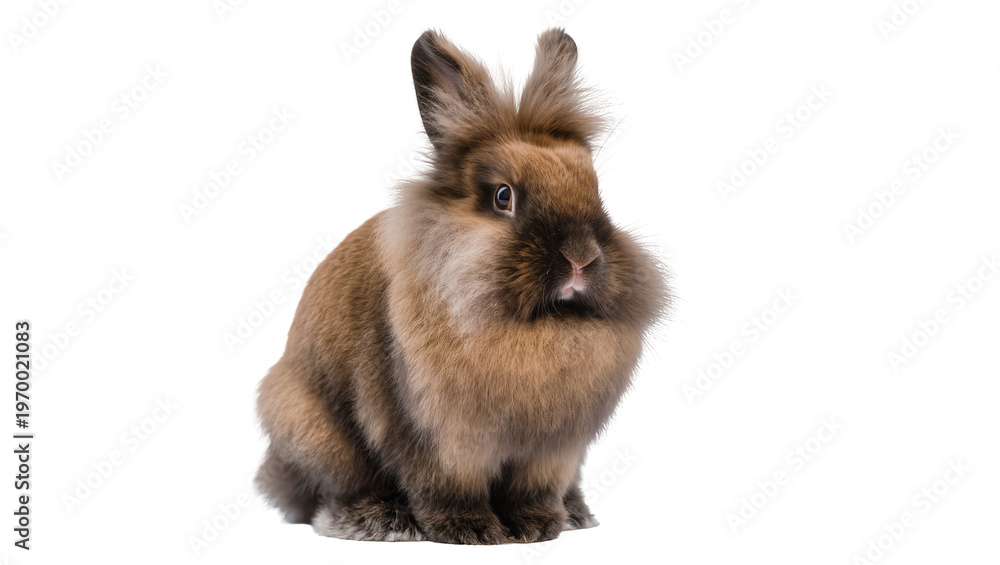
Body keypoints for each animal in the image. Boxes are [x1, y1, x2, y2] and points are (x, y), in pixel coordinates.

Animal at [255, 28, 669, 545]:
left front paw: (538, 528)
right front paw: (470, 531)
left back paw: (575, 514)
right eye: (503, 196)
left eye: (595, 190)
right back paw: (376, 520)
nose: (581, 257)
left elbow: (534, 491)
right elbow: (448, 489)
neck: (539, 327)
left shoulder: (553, 450)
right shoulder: (439, 441)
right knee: (334, 489)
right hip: (311, 429)